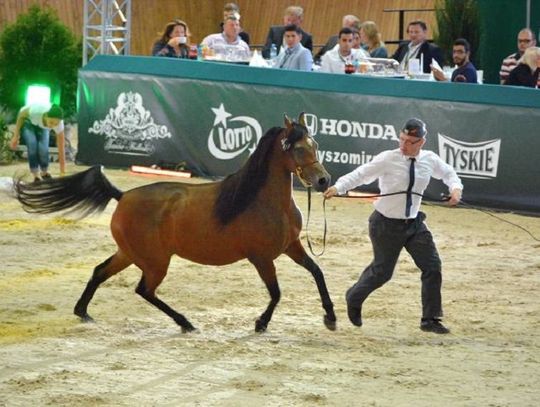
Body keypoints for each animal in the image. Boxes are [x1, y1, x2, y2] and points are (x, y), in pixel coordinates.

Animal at [14, 113, 338, 334]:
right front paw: (260, 323)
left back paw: (83, 312)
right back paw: (185, 322)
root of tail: (122, 195)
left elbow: (317, 272)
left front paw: (331, 317)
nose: (324, 181)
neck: (264, 201)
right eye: (298, 148)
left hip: (130, 254)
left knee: (100, 272)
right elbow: (276, 293)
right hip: (155, 261)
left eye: (316, 144)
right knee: (144, 290)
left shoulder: (291, 246)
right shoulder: (261, 258)